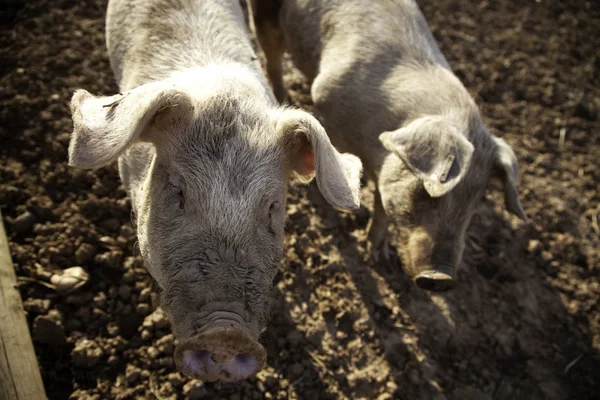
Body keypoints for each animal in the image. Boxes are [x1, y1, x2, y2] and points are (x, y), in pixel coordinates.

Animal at [251, 0, 528, 292]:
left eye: (475, 202)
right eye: (426, 193)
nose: (441, 278)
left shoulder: (388, 170)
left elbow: (382, 203)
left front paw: (379, 258)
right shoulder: (325, 100)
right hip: (264, 15)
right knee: (272, 58)